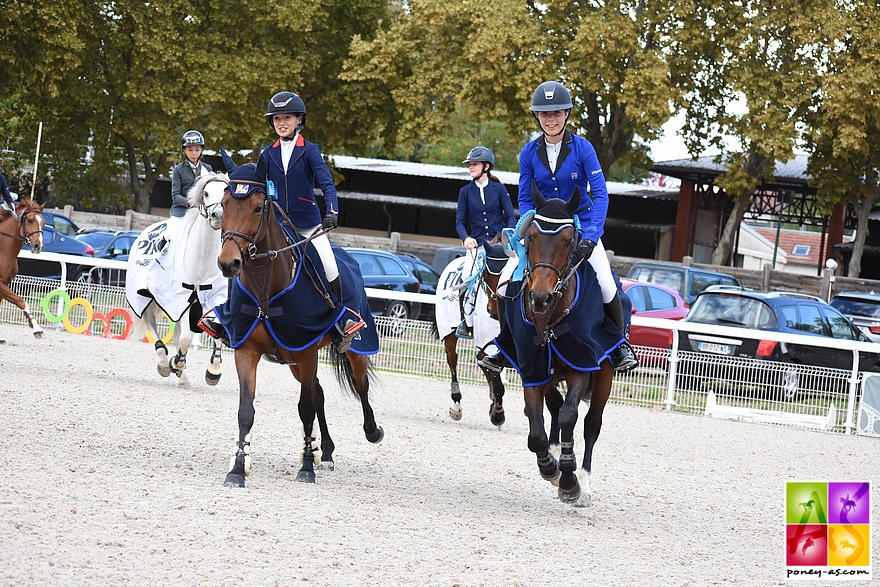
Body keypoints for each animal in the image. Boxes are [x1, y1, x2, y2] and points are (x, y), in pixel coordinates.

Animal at [0, 201, 46, 342]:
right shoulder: (0, 284)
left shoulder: (5, 284)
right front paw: (37, 329)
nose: (38, 246)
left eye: (44, 223)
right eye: (30, 220)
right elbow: (21, 301)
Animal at [129, 172, 230, 388]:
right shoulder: (183, 298)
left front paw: (214, 371)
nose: (218, 215)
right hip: (144, 299)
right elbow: (184, 339)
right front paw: (176, 363)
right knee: (152, 325)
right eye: (206, 193)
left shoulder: (216, 298)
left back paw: (182, 376)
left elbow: (217, 331)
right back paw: (165, 363)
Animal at [216, 169, 382, 486]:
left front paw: (306, 468)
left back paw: (371, 431)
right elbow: (246, 410)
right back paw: (325, 452)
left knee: (360, 385)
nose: (228, 263)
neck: (266, 290)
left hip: (350, 348)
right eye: (223, 205)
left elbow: (305, 409)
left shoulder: (307, 351)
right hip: (293, 359)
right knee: (319, 393)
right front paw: (237, 469)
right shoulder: (248, 349)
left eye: (258, 208)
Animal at [434, 243, 508, 428]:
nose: (492, 310)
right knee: (452, 359)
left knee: (480, 359)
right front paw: (498, 414)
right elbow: (498, 382)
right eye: (485, 276)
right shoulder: (489, 342)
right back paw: (456, 403)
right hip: (449, 331)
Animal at [496, 186, 620, 508]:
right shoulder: (533, 370)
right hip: (552, 375)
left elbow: (569, 416)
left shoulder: (582, 364)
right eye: (530, 237)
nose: (540, 297)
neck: (549, 316)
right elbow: (536, 432)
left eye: (568, 241)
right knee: (555, 407)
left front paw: (569, 482)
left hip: (604, 375)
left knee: (591, 424)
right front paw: (550, 468)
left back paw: (584, 482)